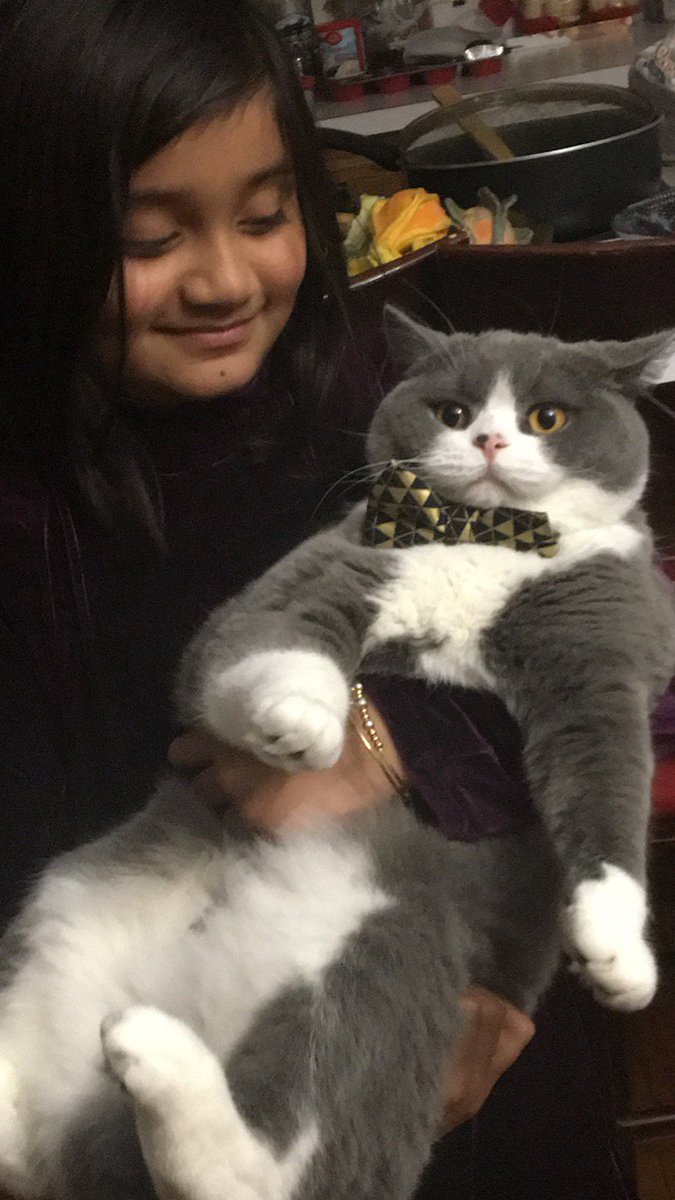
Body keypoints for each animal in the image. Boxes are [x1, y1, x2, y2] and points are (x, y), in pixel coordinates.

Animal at [1, 311, 674, 1200]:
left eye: (546, 418)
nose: (491, 440)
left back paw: (149, 1051)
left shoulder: (604, 660)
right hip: (73, 906)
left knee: (271, 1168)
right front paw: (306, 724)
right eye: (453, 413)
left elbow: (607, 789)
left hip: (397, 934)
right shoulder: (318, 570)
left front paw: (616, 954)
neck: (480, 540)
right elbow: (255, 646)